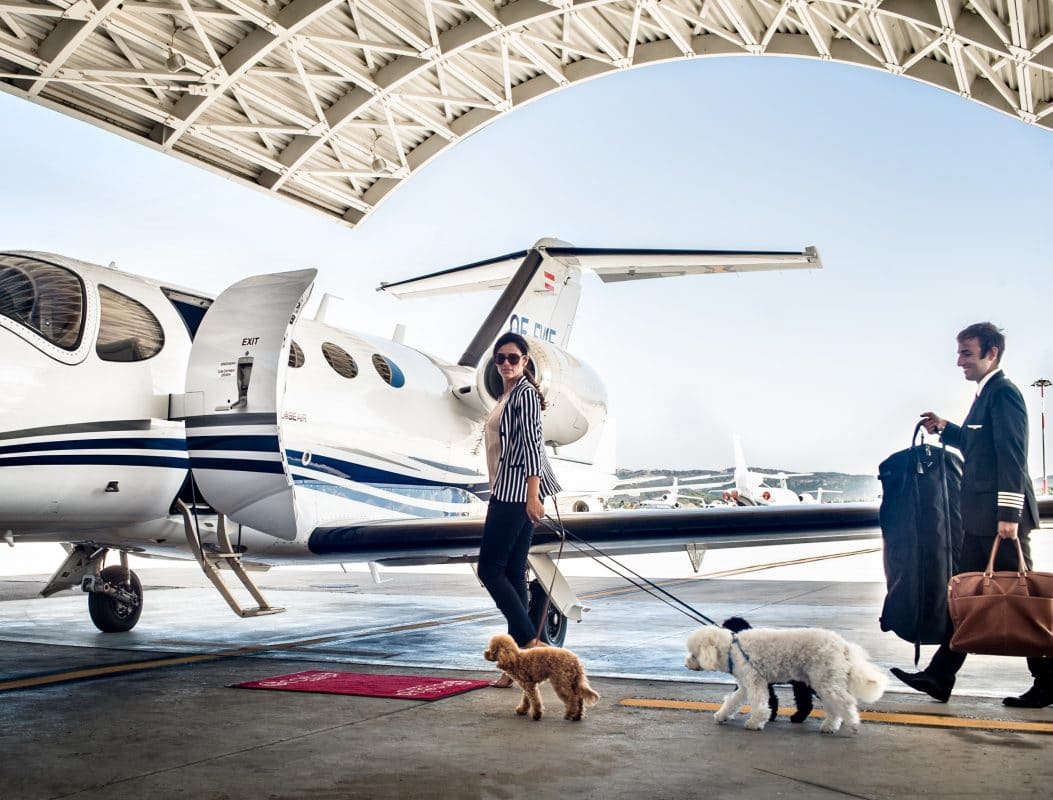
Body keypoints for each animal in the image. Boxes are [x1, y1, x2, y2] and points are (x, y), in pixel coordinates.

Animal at [682, 627, 888, 732]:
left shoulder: (754, 681)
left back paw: (852, 723)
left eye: (693, 653)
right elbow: (733, 701)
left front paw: (755, 722)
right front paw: (722, 716)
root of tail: (843, 645)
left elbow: (759, 704)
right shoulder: (745, 685)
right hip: (824, 681)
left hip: (824, 679)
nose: (686, 664)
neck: (731, 649)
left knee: (844, 702)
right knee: (834, 705)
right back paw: (830, 726)